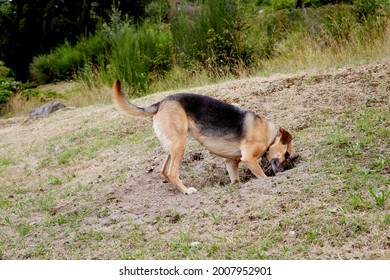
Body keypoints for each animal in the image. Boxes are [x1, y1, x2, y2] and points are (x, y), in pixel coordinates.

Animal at [112, 80, 292, 195]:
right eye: (287, 154)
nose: (285, 171)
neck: (269, 134)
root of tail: (161, 102)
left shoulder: (231, 162)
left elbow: (235, 178)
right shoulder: (249, 159)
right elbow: (262, 176)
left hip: (172, 146)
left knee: (164, 170)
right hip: (180, 145)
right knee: (172, 172)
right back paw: (186, 190)